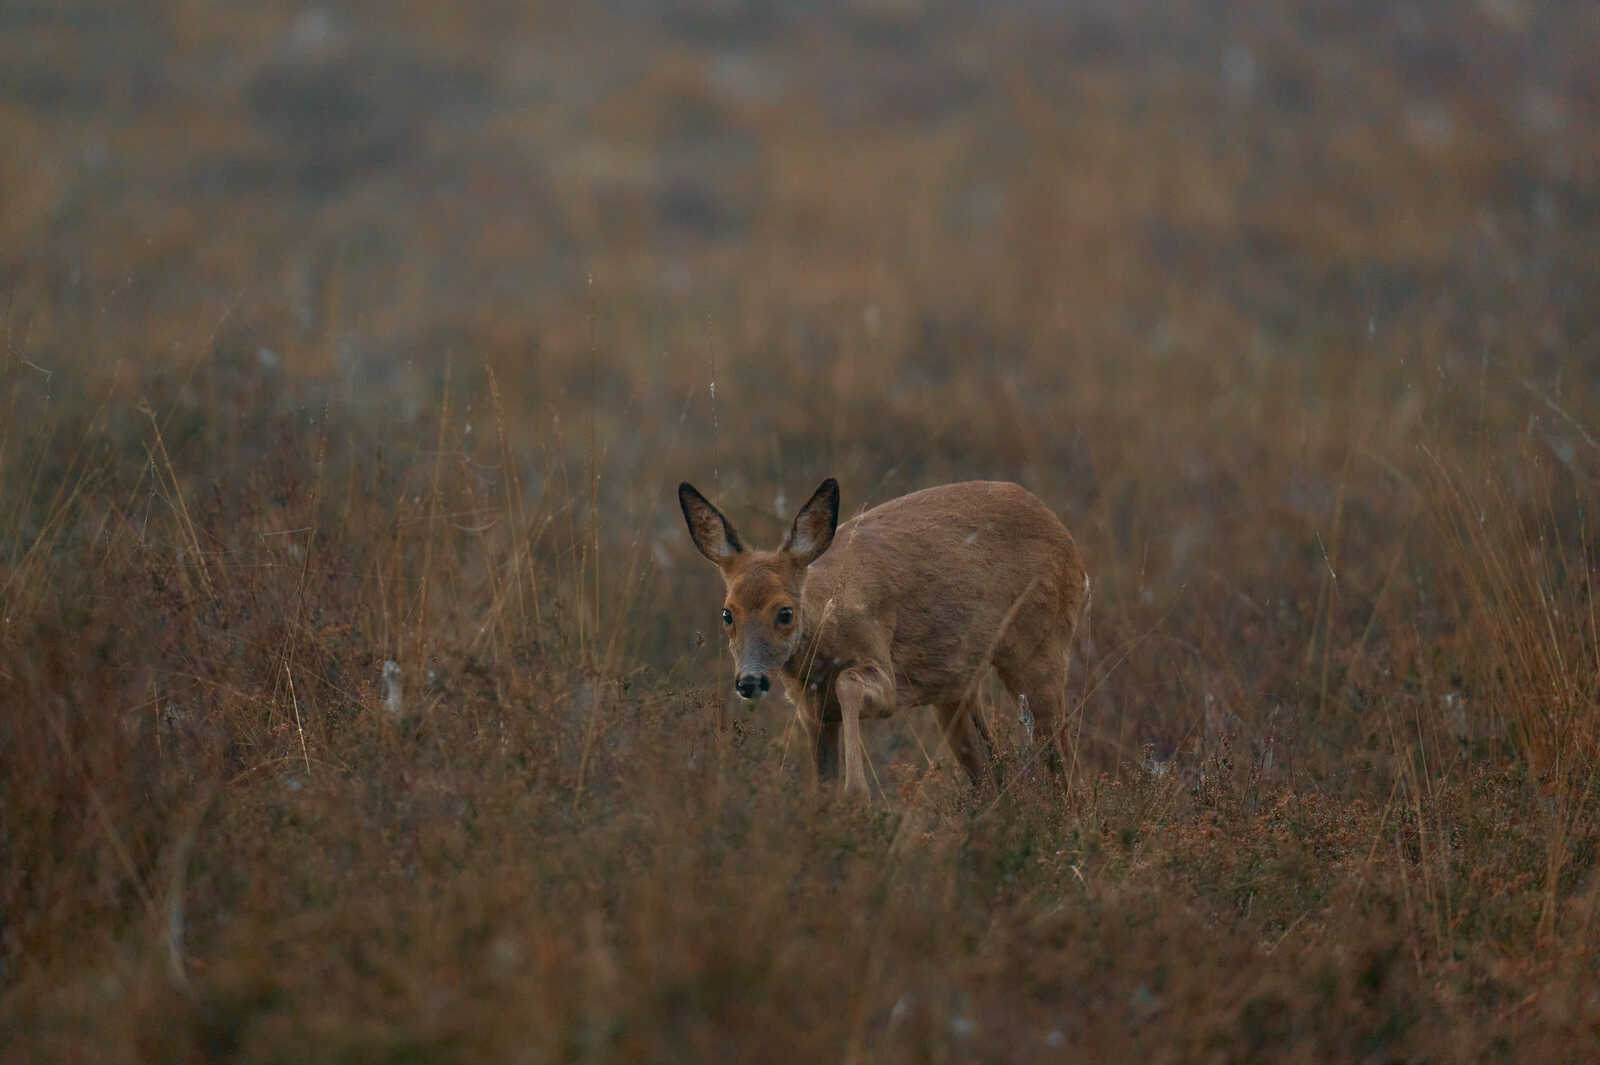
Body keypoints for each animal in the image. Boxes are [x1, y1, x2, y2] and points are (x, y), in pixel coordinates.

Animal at [678, 477, 1089, 797]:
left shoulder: (881, 670)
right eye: (727, 613)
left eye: (784, 612)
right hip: (956, 687)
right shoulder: (812, 710)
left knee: (1064, 759)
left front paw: (858, 793)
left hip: (1040, 647)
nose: (749, 681)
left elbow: (848, 685)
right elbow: (821, 785)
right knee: (988, 764)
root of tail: (1067, 540)